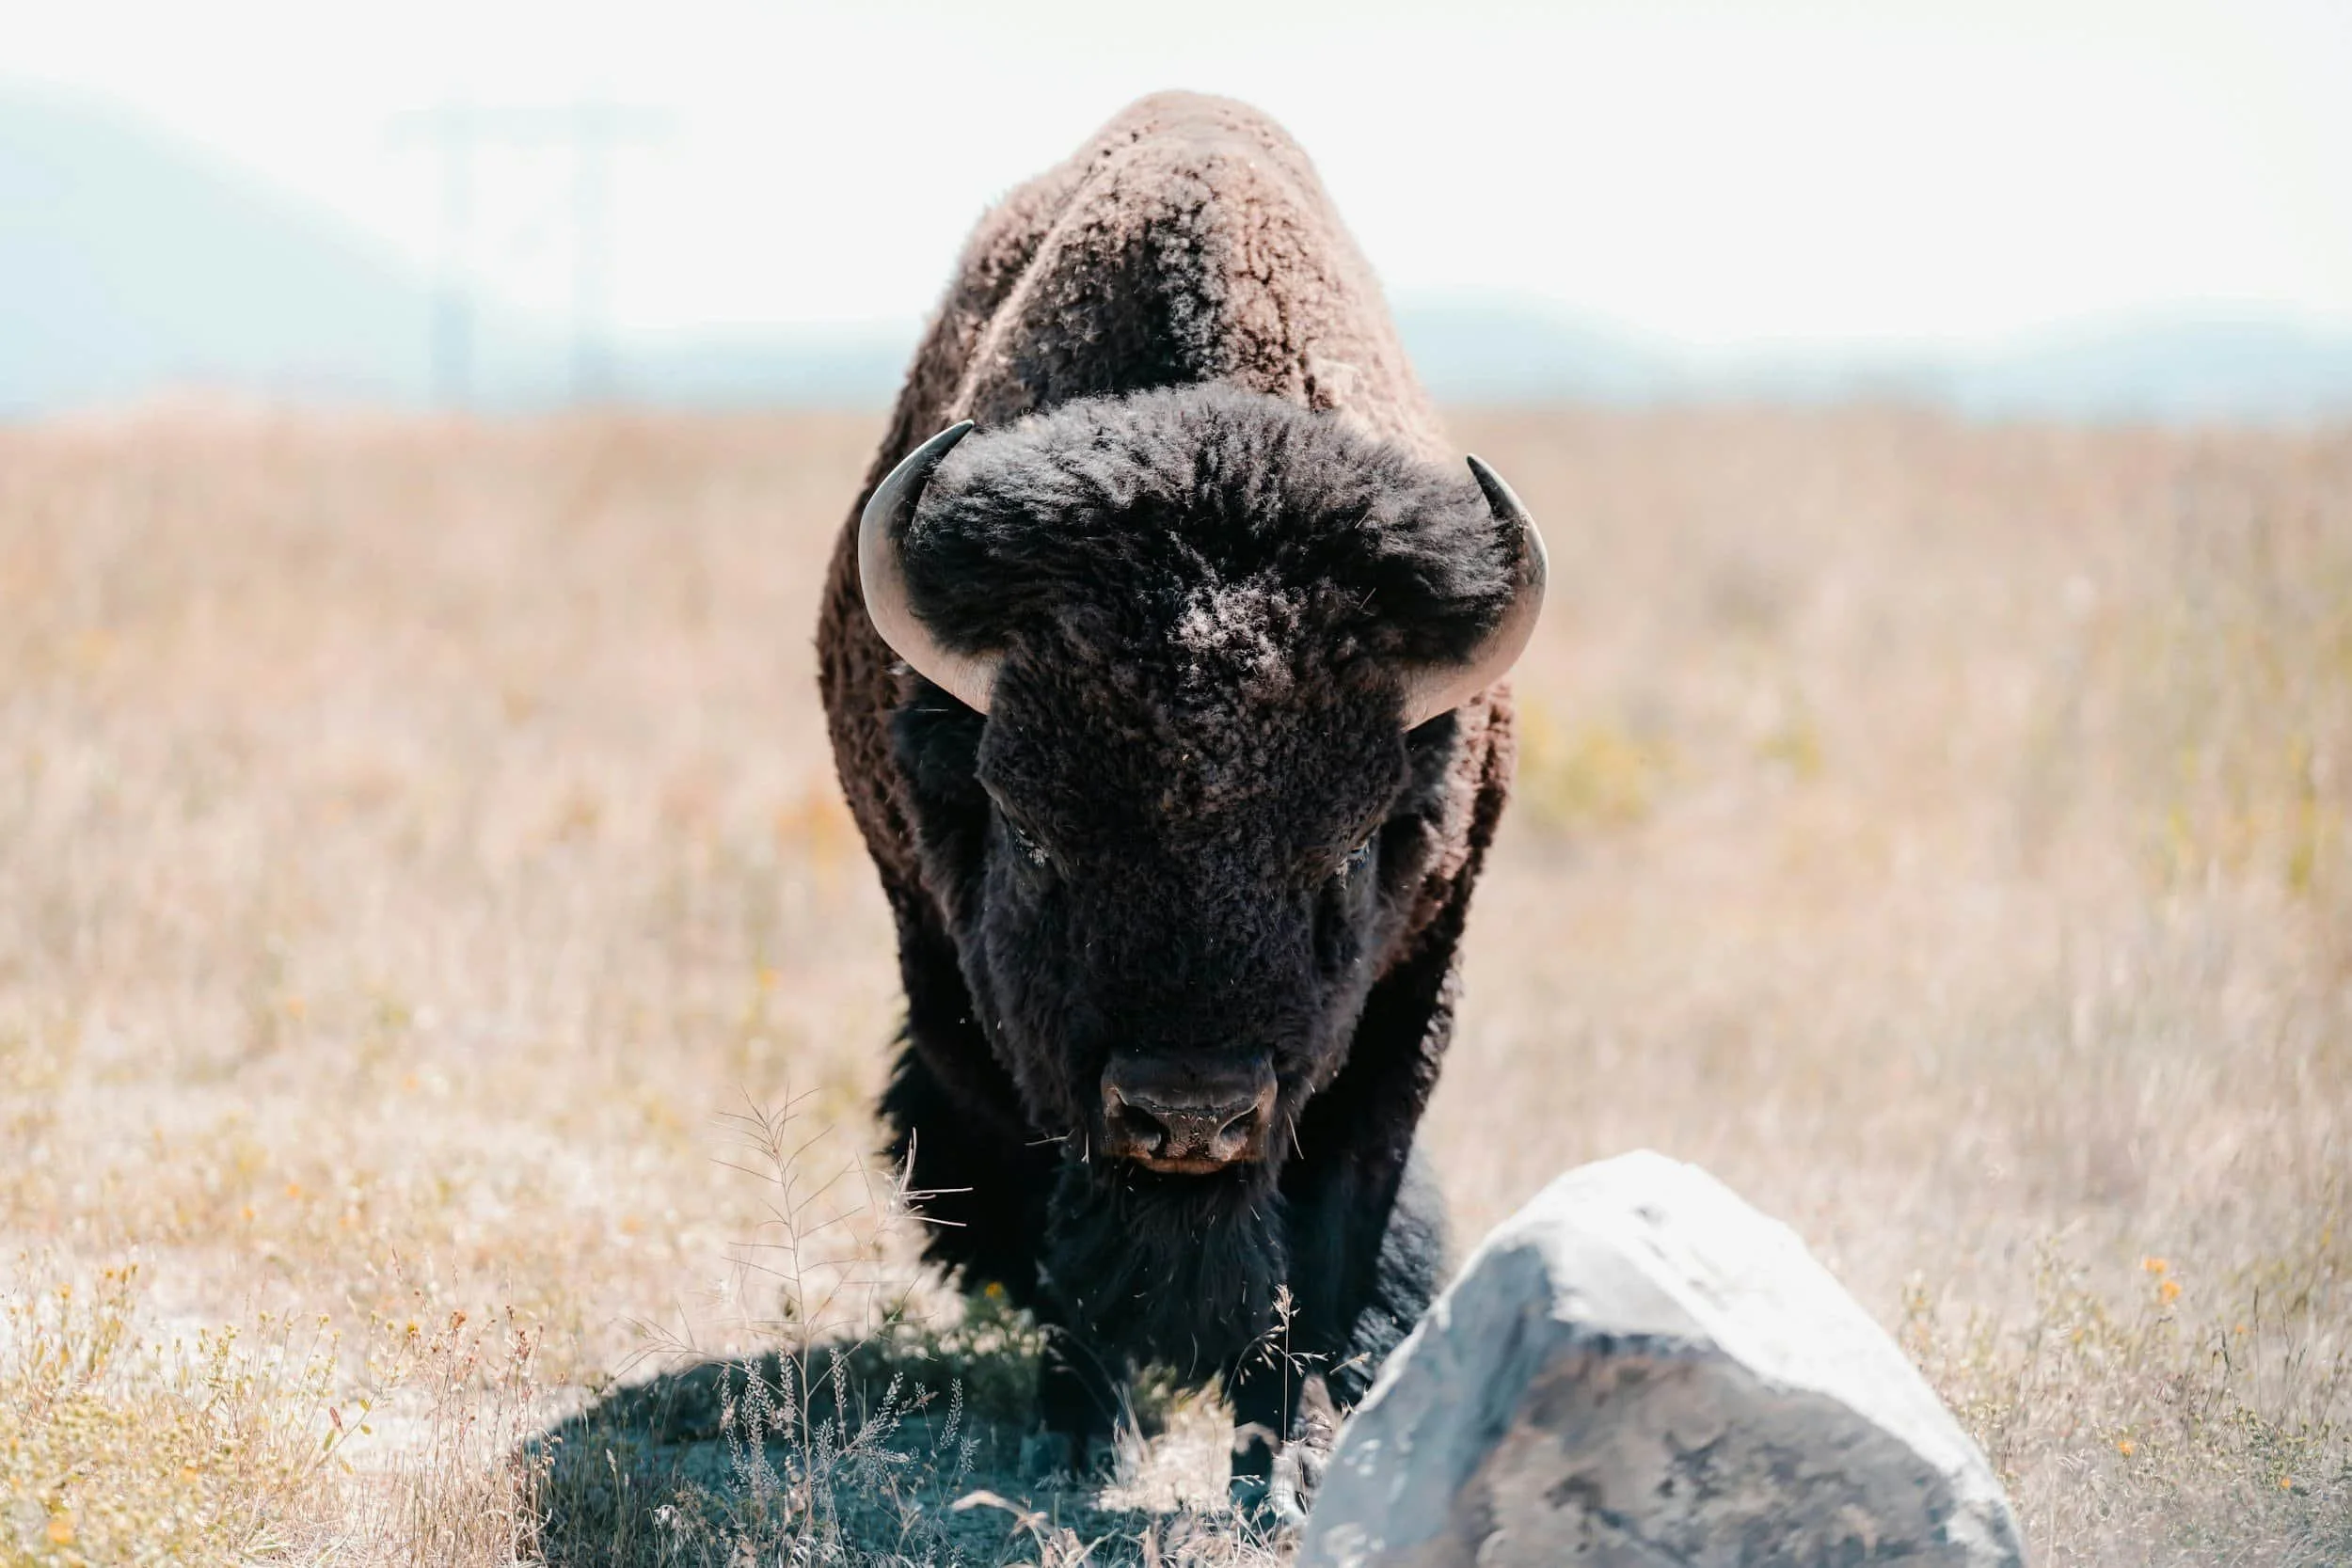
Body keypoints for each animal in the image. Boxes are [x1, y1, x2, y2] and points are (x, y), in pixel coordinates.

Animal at [815, 92, 1544, 1505]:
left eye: (1346, 848)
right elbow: (1068, 1219)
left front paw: (1289, 1466)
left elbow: (1325, 1234)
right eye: (1033, 834)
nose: (1189, 1109)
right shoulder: (1012, 1017)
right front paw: (1071, 1438)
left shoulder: (1406, 996)